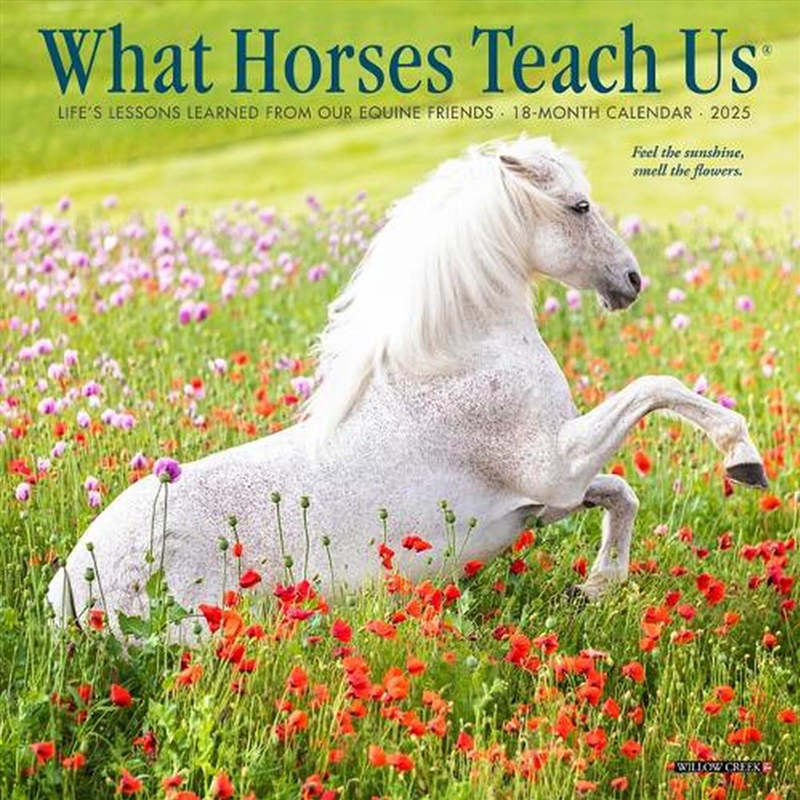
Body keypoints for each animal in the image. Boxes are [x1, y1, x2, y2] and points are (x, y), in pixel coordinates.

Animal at [48, 136, 768, 635]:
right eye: (579, 205)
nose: (631, 280)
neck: (457, 361)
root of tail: (71, 587)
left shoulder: (548, 496)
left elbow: (621, 493)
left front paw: (594, 586)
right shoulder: (555, 466)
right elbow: (657, 389)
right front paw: (744, 460)